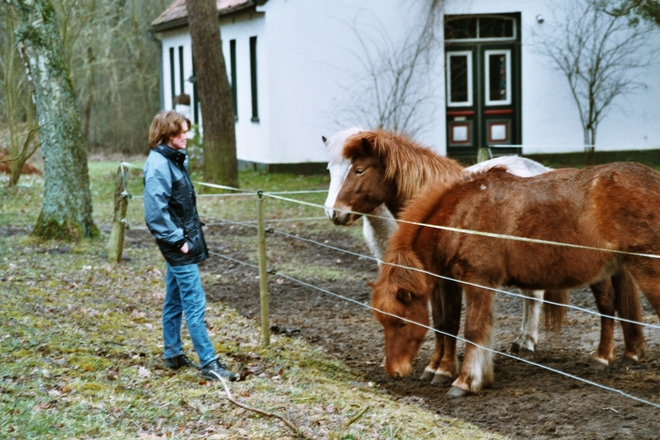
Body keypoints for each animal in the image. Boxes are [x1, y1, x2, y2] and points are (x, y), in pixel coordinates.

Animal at [324, 127, 644, 382]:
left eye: (359, 169)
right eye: (329, 170)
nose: (333, 212)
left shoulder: (447, 279)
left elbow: (449, 321)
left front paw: (444, 370)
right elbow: (439, 322)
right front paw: (434, 367)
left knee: (603, 302)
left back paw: (598, 356)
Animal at [372, 163, 660, 398]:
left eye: (401, 322)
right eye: (383, 322)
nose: (394, 371)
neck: (463, 215)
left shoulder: (477, 281)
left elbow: (473, 330)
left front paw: (465, 382)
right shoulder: (461, 282)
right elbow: (467, 328)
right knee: (607, 306)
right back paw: (603, 358)